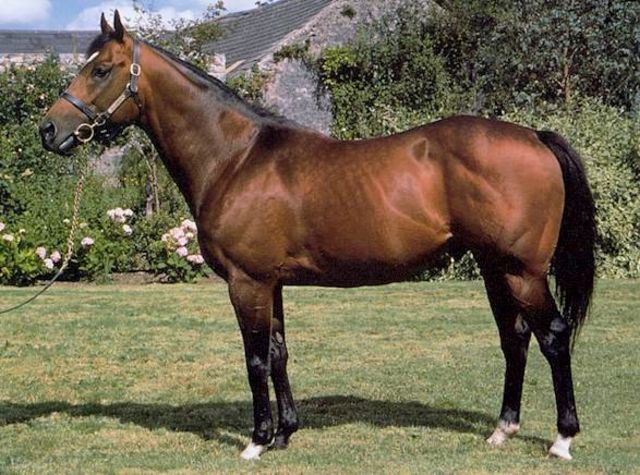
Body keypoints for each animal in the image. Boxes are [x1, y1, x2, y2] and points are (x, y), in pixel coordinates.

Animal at [39, 11, 596, 461]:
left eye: (101, 70)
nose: (48, 130)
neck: (236, 157)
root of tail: (534, 137)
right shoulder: (271, 283)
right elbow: (279, 353)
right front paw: (286, 432)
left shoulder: (247, 282)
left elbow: (255, 359)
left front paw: (257, 440)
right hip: (494, 267)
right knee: (514, 338)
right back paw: (503, 430)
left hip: (522, 271)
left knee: (553, 336)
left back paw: (562, 439)